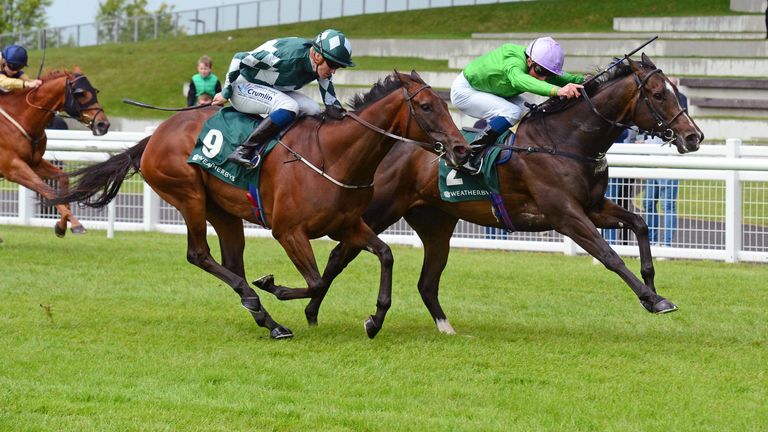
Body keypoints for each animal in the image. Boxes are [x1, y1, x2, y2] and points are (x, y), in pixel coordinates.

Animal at [0, 68, 111, 236]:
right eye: (81, 93)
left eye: (94, 91)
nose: (103, 124)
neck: (21, 118)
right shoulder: (13, 168)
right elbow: (47, 190)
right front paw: (76, 224)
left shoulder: (34, 163)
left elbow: (62, 177)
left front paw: (62, 225)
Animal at [49, 71, 468, 340]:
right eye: (427, 106)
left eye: (445, 103)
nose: (462, 148)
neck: (334, 155)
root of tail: (153, 136)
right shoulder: (289, 231)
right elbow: (316, 281)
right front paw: (273, 286)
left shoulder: (349, 224)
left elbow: (384, 255)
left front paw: (375, 320)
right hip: (188, 195)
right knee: (199, 255)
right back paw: (257, 299)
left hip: (223, 211)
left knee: (231, 262)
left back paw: (268, 321)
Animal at [308, 54, 704, 334]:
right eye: (658, 95)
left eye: (674, 93)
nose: (693, 136)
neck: (564, 139)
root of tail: (389, 142)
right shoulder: (566, 215)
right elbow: (610, 257)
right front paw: (653, 299)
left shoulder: (593, 206)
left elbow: (639, 224)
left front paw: (652, 283)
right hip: (378, 210)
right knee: (340, 255)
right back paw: (316, 311)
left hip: (436, 222)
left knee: (426, 282)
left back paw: (446, 327)